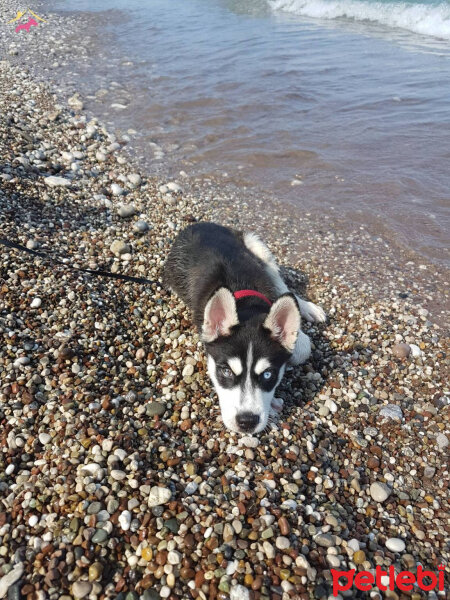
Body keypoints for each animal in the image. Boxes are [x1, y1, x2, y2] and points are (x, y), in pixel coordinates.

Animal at [163, 223, 326, 434]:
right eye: (226, 372)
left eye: (268, 374)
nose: (247, 422)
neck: (244, 296)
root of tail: (199, 223)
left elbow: (301, 349)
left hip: (258, 249)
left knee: (282, 286)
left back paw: (307, 308)